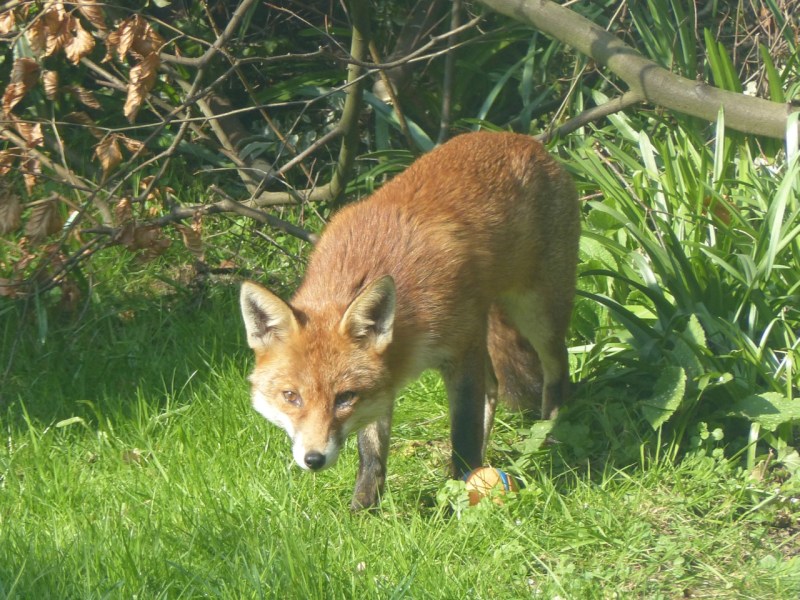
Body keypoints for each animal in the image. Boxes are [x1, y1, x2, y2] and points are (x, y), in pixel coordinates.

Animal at [240, 131, 580, 510]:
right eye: (291, 396)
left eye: (345, 397)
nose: (313, 459)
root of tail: (524, 140)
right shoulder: (385, 381)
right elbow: (371, 452)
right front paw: (362, 510)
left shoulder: (460, 351)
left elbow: (463, 432)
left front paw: (460, 494)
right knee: (493, 388)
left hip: (536, 311)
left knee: (557, 368)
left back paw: (549, 436)